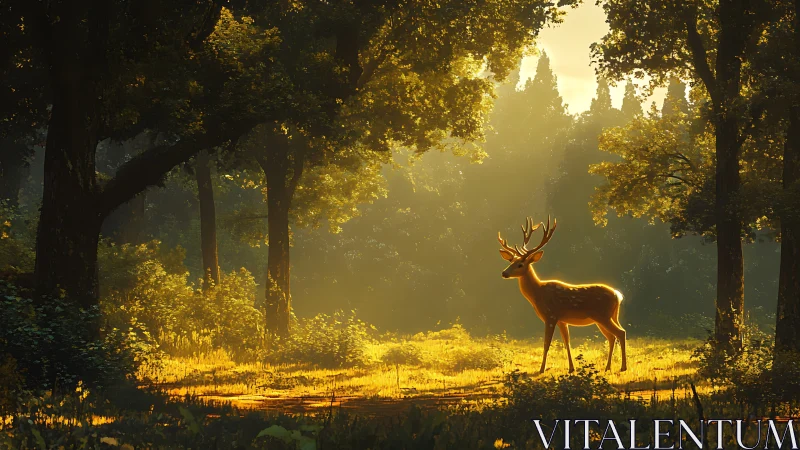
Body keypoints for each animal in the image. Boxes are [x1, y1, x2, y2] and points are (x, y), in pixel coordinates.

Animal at [498, 216, 627, 373]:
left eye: (520, 264)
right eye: (511, 261)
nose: (504, 273)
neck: (538, 294)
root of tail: (618, 295)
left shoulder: (551, 315)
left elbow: (547, 343)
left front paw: (541, 369)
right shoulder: (562, 320)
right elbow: (567, 342)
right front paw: (571, 368)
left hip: (603, 315)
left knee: (620, 333)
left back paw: (623, 367)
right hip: (609, 316)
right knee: (612, 337)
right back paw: (608, 367)